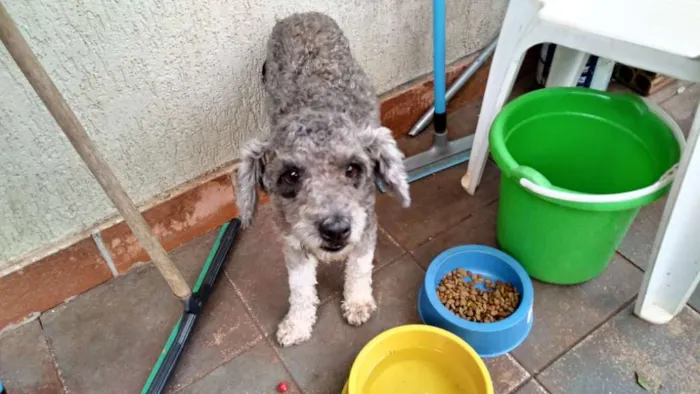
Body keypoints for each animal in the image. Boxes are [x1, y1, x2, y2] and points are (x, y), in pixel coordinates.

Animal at [238, 10, 410, 346]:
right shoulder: (292, 242)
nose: (336, 229)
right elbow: (300, 288)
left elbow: (359, 267)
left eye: (353, 169)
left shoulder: (366, 227)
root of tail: (299, 14)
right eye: (291, 175)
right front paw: (297, 325)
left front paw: (357, 302)